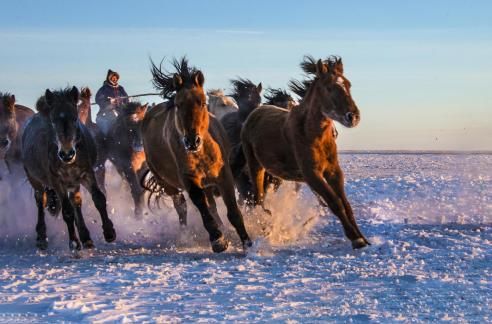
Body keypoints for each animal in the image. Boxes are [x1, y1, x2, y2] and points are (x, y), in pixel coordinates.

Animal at [22, 86, 116, 251]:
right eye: (53, 121)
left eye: (74, 118)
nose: (67, 154)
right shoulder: (57, 182)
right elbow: (67, 211)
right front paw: (73, 242)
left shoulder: (86, 174)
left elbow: (99, 198)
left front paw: (109, 232)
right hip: (35, 180)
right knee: (41, 201)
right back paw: (42, 238)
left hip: (73, 183)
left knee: (75, 202)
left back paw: (86, 238)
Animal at [141, 57, 252, 252]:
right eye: (178, 104)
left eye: (201, 102)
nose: (192, 141)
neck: (202, 152)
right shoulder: (189, 179)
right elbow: (202, 207)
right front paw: (218, 239)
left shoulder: (224, 175)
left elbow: (232, 210)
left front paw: (246, 242)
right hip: (167, 182)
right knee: (181, 206)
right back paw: (186, 233)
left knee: (211, 205)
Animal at [238, 56, 368, 248]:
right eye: (330, 87)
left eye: (348, 84)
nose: (353, 117)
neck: (312, 134)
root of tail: (255, 113)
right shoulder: (311, 173)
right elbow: (335, 202)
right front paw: (355, 238)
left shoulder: (333, 171)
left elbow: (345, 204)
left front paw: (362, 237)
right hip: (256, 166)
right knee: (258, 199)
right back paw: (265, 225)